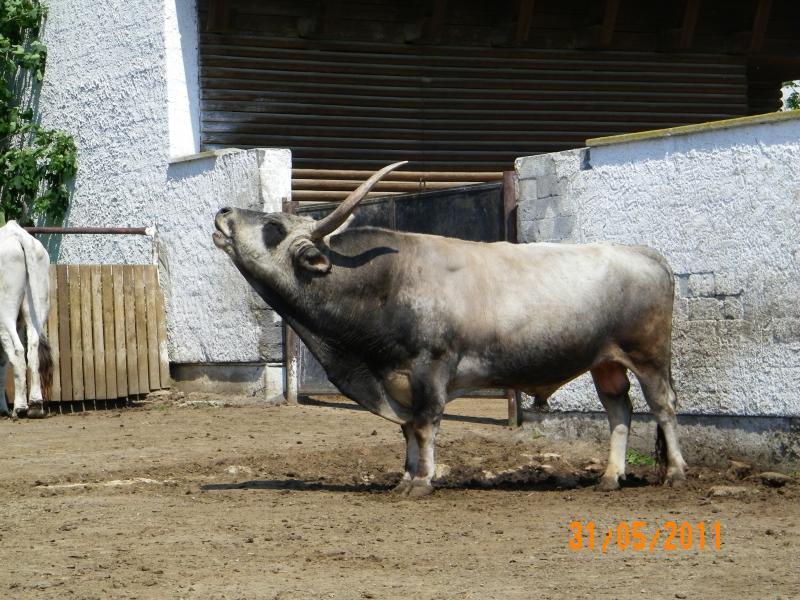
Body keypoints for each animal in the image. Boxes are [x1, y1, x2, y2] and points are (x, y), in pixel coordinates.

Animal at [0, 221, 53, 418]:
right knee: (33, 348)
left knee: (17, 351)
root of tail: (17, 233)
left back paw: (20, 407)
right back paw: (36, 405)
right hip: (36, 307)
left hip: (5, 313)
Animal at [213, 162, 687, 496]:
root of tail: (645, 253)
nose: (222, 211)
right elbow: (407, 428)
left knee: (662, 406)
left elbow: (425, 424)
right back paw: (610, 476)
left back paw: (676, 473)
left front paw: (423, 482)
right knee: (619, 410)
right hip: (605, 362)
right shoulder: (396, 378)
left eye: (273, 227)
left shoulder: (431, 369)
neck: (385, 282)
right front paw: (405, 478)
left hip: (648, 356)